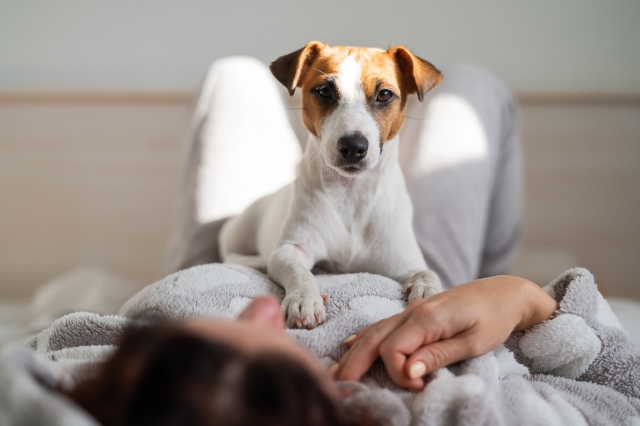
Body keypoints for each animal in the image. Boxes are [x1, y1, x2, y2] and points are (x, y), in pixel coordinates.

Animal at [218, 42, 442, 330]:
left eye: (384, 94)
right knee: (232, 256)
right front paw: (304, 298)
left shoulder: (406, 261)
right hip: (236, 231)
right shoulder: (292, 249)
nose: (353, 146)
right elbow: (298, 269)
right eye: (324, 91)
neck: (350, 193)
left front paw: (429, 293)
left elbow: (428, 273)